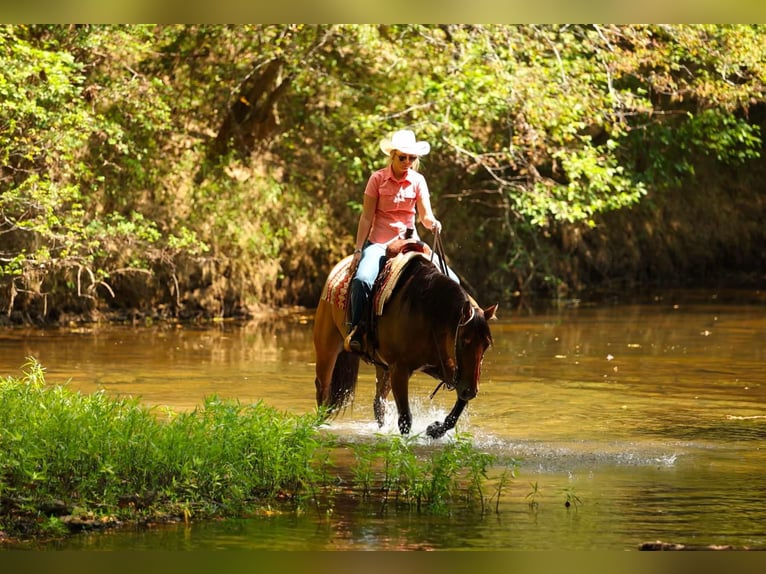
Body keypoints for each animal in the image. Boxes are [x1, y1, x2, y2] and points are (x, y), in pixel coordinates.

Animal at [312, 247, 497, 439]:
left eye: (486, 345)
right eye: (463, 341)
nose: (471, 391)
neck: (428, 313)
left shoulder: (442, 368)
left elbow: (458, 406)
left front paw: (435, 429)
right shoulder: (400, 370)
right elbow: (405, 418)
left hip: (383, 367)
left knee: (378, 403)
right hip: (327, 348)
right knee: (323, 388)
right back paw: (320, 424)